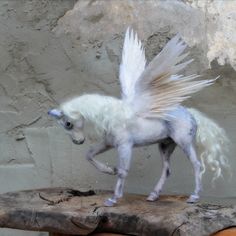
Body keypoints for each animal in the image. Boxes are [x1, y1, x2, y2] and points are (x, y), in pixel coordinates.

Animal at [48, 28, 229, 206]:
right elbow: (89, 155)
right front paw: (110, 170)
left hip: (183, 142)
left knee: (197, 165)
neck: (112, 117)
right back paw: (153, 196)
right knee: (167, 170)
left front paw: (113, 199)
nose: (77, 142)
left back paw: (194, 197)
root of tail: (190, 114)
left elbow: (123, 171)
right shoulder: (108, 143)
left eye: (68, 123)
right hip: (165, 145)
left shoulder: (125, 146)